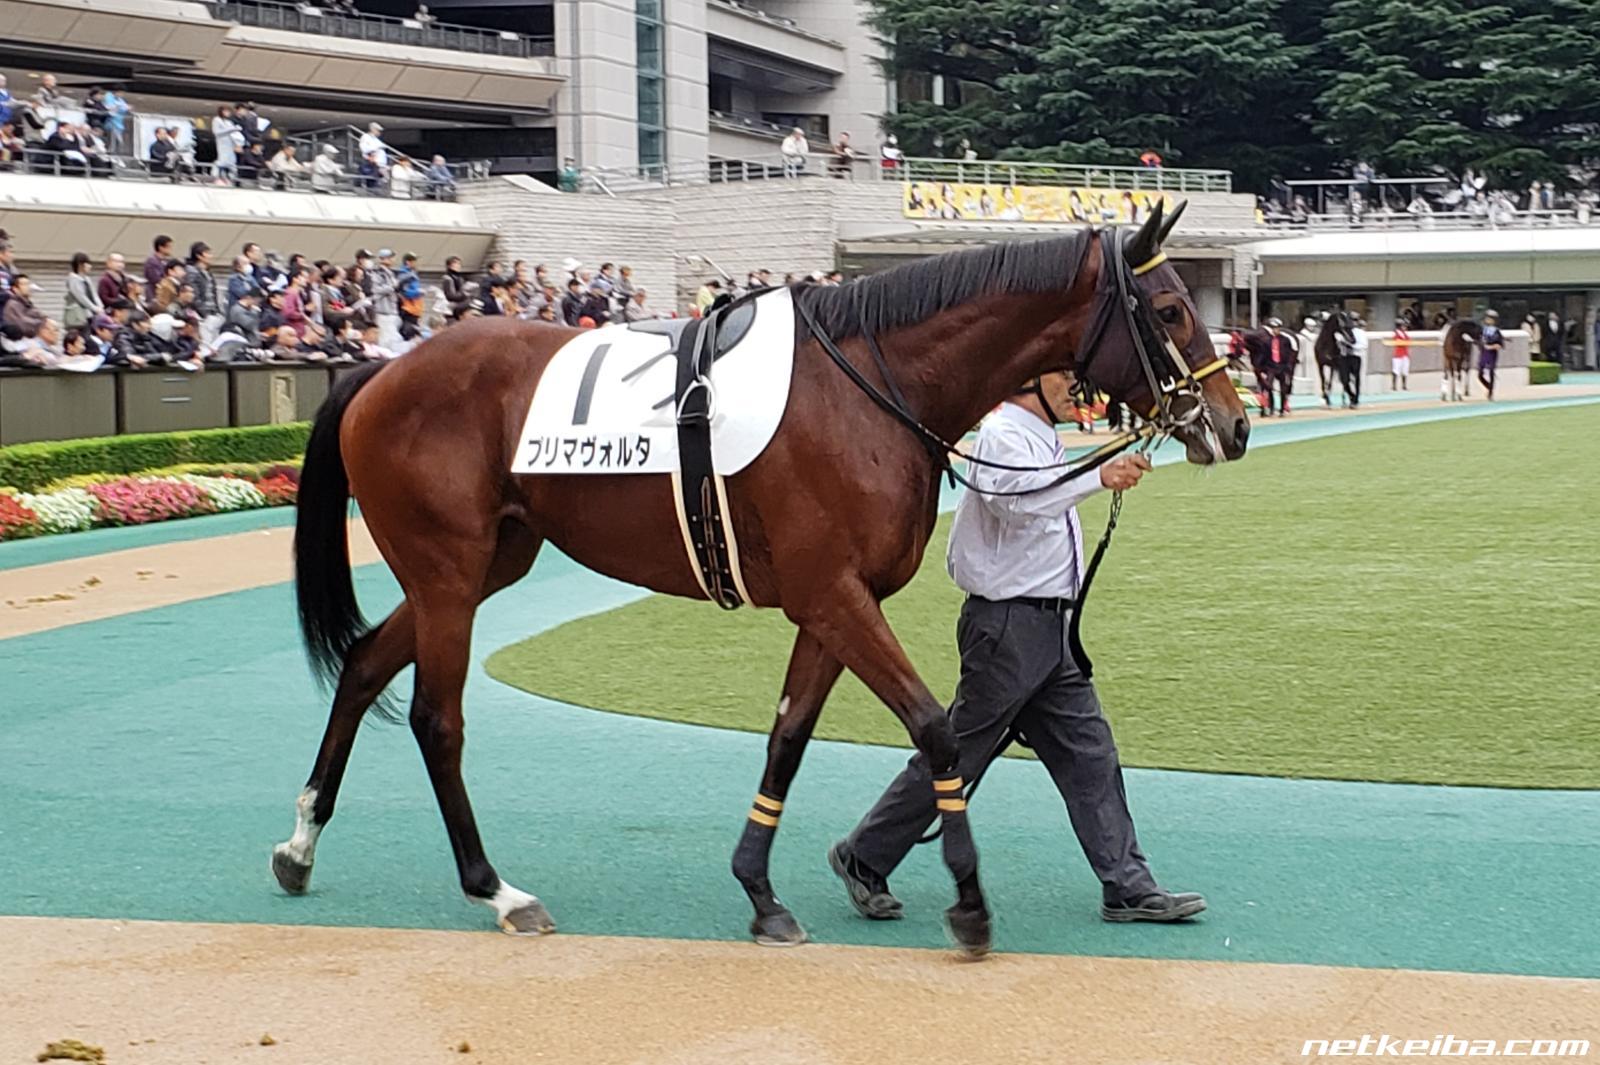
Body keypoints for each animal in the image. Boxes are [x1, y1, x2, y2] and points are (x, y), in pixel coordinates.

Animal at [271, 203, 1250, 957]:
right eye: (1169, 308)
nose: (1234, 426)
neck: (868, 385)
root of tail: (378, 372)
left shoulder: (832, 604)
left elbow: (788, 735)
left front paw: (761, 893)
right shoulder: (835, 595)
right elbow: (934, 726)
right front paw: (969, 904)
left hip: (484, 566)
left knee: (364, 663)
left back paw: (300, 845)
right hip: (449, 570)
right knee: (437, 719)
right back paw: (496, 889)